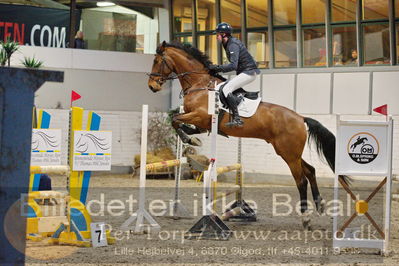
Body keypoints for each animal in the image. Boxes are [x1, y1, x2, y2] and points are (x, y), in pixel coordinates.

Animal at [148, 40, 348, 230]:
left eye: (157, 61)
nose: (151, 86)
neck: (200, 84)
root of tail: (300, 118)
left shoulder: (201, 116)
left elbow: (175, 119)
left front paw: (189, 139)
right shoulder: (203, 123)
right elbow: (181, 123)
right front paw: (193, 139)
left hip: (289, 154)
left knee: (301, 180)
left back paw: (306, 218)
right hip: (289, 152)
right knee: (310, 170)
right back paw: (320, 204)